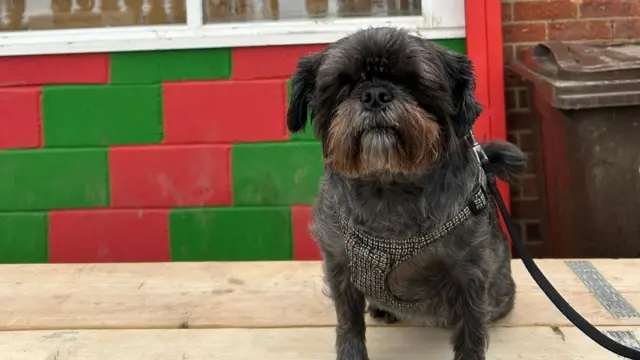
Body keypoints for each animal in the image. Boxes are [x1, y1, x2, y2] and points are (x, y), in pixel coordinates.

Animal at [288, 26, 528, 360]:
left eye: (414, 81)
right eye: (343, 82)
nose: (375, 94)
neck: (388, 186)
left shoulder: (469, 273)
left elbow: (471, 331)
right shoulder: (339, 264)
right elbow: (349, 323)